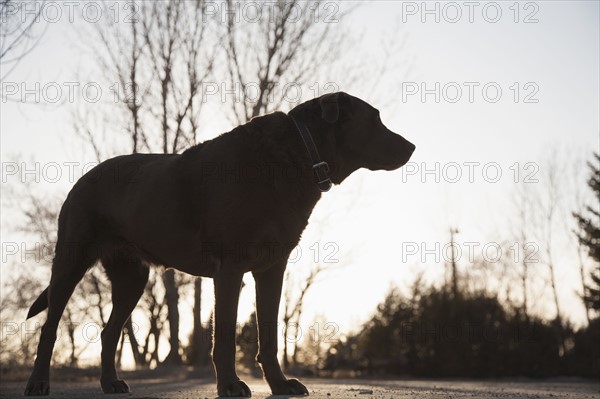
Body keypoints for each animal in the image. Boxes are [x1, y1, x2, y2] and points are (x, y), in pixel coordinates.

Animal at [24, 93, 418, 396]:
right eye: (375, 120)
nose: (413, 146)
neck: (300, 157)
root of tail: (82, 178)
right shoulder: (231, 267)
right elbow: (225, 334)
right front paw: (230, 385)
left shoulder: (271, 268)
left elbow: (269, 334)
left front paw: (279, 384)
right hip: (72, 260)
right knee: (49, 328)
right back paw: (38, 383)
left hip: (131, 277)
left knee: (109, 332)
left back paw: (110, 383)